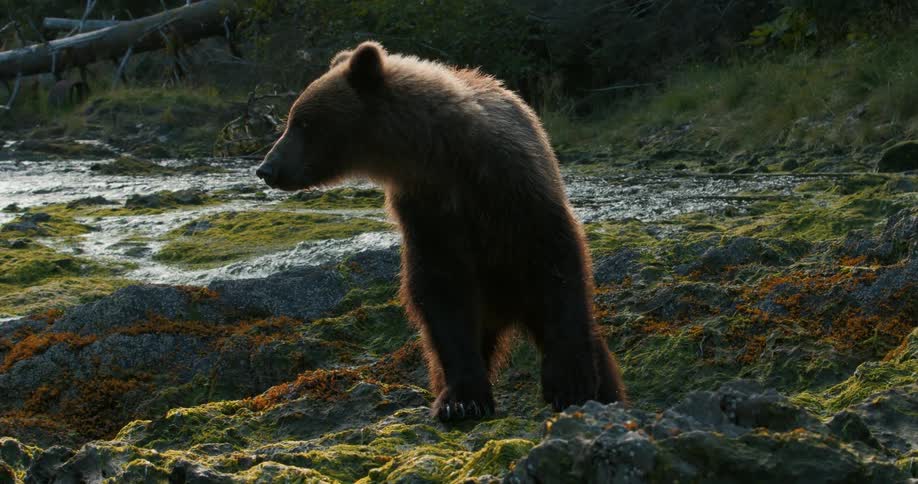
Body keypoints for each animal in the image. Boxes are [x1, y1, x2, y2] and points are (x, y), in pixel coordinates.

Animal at [256, 41, 626, 421]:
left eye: (303, 122)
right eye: (291, 119)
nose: (266, 168)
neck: (439, 155)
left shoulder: (513, 190)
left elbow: (556, 269)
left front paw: (569, 385)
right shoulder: (428, 212)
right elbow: (442, 296)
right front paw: (461, 400)